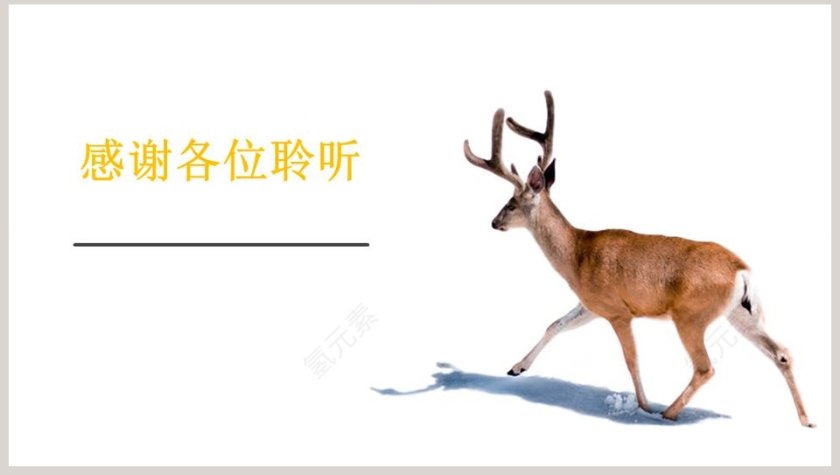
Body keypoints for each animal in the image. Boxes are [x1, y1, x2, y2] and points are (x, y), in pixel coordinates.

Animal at [462, 91, 814, 427]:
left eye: (510, 203)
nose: (493, 222)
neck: (576, 254)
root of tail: (742, 271)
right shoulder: (592, 304)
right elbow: (554, 324)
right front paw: (516, 367)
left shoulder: (618, 311)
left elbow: (631, 360)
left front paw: (643, 406)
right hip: (742, 313)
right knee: (782, 353)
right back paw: (806, 419)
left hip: (691, 315)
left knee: (705, 367)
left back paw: (667, 412)